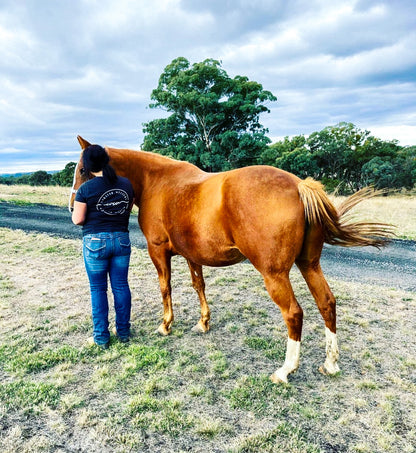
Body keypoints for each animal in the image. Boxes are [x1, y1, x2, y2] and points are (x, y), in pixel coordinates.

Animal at [69, 136, 394, 384]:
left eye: (83, 169)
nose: (73, 208)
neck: (156, 182)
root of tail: (299, 185)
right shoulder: (192, 255)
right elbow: (198, 286)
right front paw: (203, 322)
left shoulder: (158, 251)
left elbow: (165, 288)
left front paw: (166, 325)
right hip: (309, 265)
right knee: (327, 303)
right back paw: (330, 363)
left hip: (274, 274)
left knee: (294, 313)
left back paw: (285, 370)